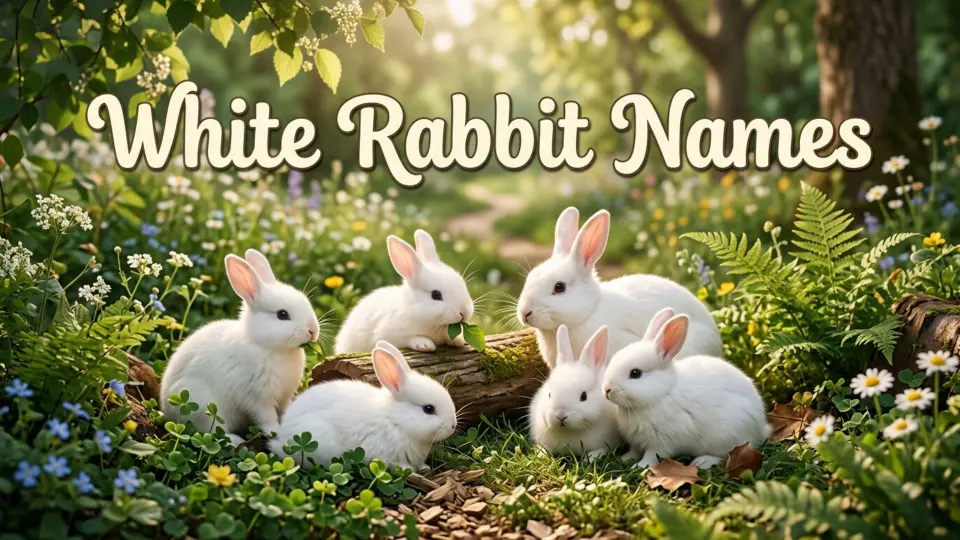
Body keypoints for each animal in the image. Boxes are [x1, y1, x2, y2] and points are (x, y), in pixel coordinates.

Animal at [160, 249, 320, 446]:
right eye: (282, 314)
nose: (313, 330)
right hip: (201, 407)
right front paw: (278, 432)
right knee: (210, 433)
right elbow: (267, 419)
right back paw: (235, 440)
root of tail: (166, 411)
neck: (268, 347)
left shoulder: (284, 396)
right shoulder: (257, 399)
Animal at [269, 341, 457, 470]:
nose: (453, 426)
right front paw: (411, 471)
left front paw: (424, 468)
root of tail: (282, 437)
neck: (396, 420)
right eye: (428, 409)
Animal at [334, 230, 474, 354]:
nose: (464, 313)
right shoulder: (388, 336)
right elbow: (409, 338)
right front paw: (424, 344)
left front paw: (458, 340)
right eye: (436, 294)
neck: (412, 310)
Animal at [529, 325, 621, 458]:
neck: (569, 431)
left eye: (584, 396)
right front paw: (540, 454)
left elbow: (603, 449)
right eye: (549, 394)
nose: (561, 415)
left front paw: (591, 458)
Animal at [602, 309, 769, 470]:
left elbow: (652, 456)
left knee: (727, 456)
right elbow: (634, 451)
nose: (607, 389)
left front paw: (639, 466)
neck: (662, 393)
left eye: (635, 373)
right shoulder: (636, 441)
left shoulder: (662, 442)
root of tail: (761, 428)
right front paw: (625, 459)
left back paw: (702, 461)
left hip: (728, 437)